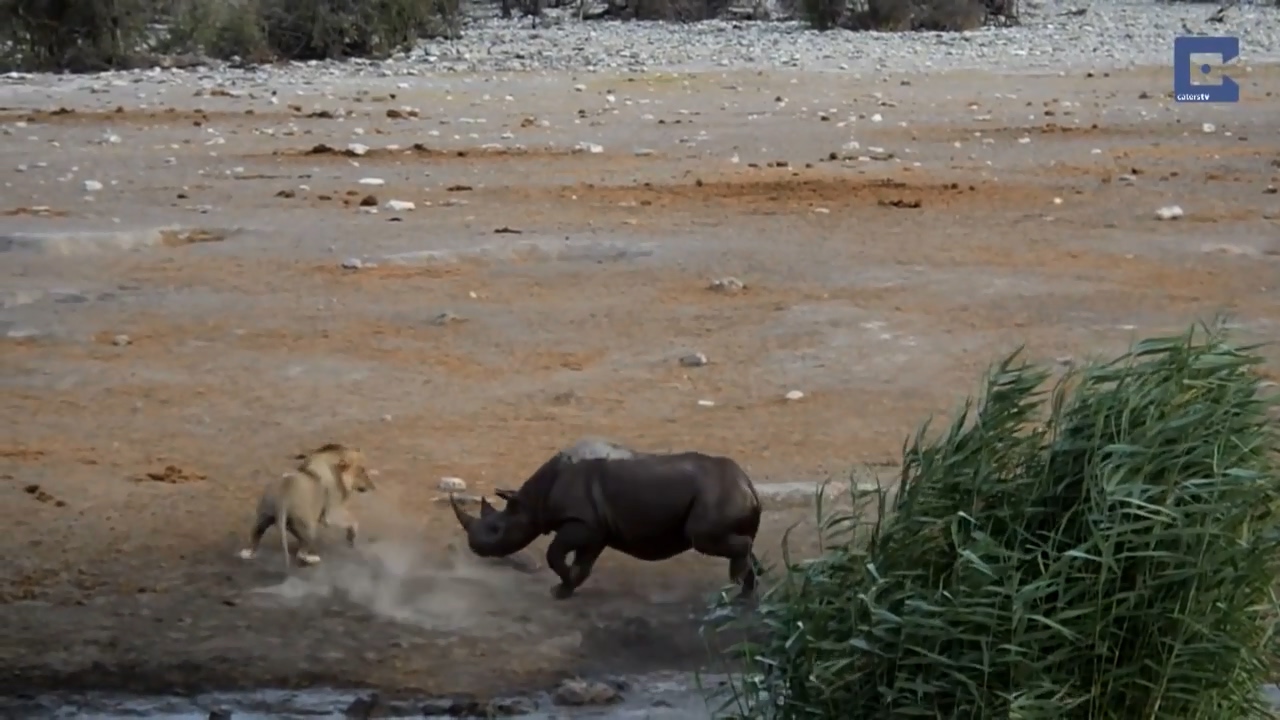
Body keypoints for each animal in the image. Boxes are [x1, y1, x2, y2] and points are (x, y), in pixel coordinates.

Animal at [237, 442, 377, 572]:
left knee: (256, 536)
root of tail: (283, 500)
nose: (373, 487)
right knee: (301, 554)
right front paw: (351, 537)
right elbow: (352, 521)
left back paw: (247, 553)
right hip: (309, 527)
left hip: (263, 517)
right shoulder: (331, 513)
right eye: (362, 470)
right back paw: (313, 558)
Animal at [450, 439, 762, 600]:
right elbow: (583, 562)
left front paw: (561, 586)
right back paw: (746, 592)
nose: (474, 547)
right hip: (725, 492)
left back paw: (737, 582)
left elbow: (554, 554)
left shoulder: (582, 522)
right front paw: (565, 588)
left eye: (496, 529)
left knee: (704, 538)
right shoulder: (597, 528)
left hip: (716, 494)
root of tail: (748, 484)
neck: (534, 500)